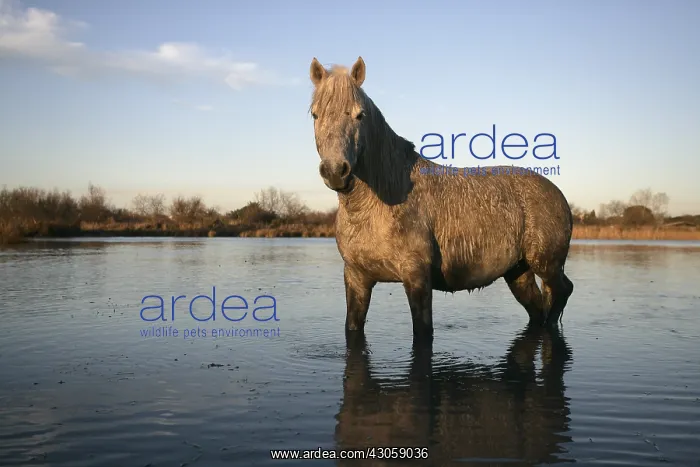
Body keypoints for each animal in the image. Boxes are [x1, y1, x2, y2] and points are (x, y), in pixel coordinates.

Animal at [308, 56, 574, 341]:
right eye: (315, 114)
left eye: (360, 115)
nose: (336, 171)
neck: (375, 209)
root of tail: (556, 193)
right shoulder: (357, 279)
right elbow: (352, 327)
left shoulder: (416, 278)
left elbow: (423, 332)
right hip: (518, 273)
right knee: (537, 309)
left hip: (547, 266)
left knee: (561, 292)